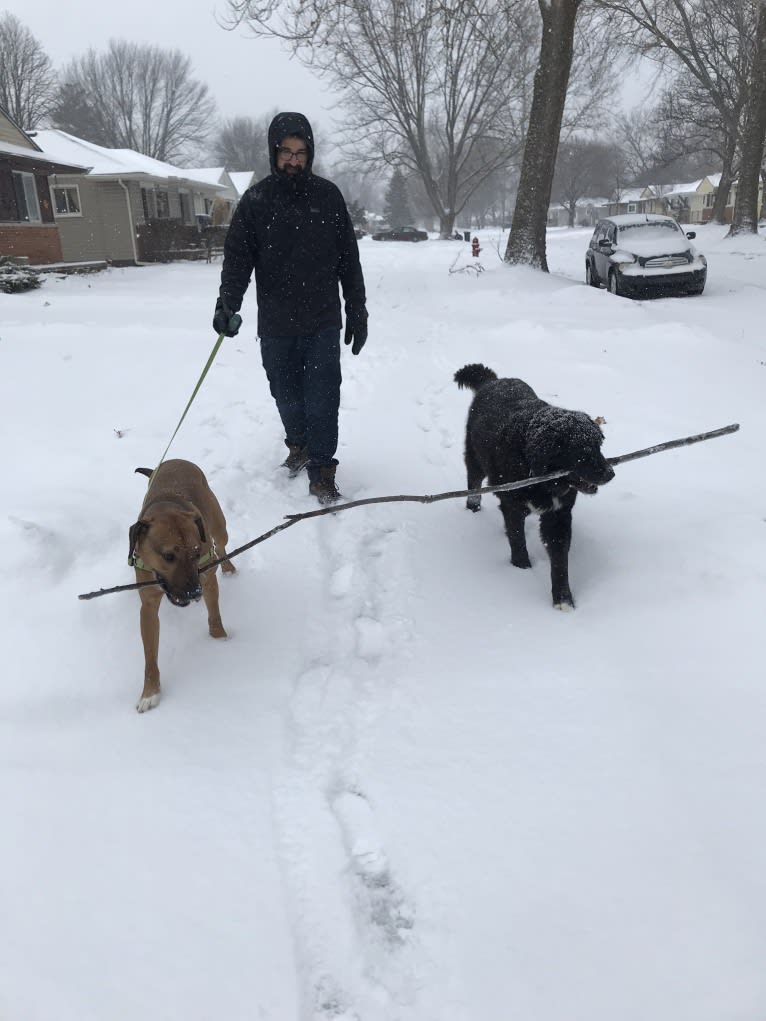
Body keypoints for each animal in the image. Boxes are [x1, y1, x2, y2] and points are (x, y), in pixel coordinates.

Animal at [127, 459, 235, 714]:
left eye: (196, 553)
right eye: (168, 556)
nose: (194, 593)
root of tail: (175, 459)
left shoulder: (206, 577)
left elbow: (214, 613)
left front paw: (220, 640)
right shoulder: (148, 605)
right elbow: (149, 655)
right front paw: (150, 692)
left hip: (218, 525)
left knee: (221, 545)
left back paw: (228, 567)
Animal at [455, 365, 616, 608]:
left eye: (599, 445)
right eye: (582, 452)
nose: (610, 474)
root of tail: (494, 381)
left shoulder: (558, 515)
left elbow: (559, 558)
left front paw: (563, 599)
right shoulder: (512, 506)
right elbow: (517, 538)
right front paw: (521, 567)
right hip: (475, 459)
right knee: (473, 482)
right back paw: (473, 507)